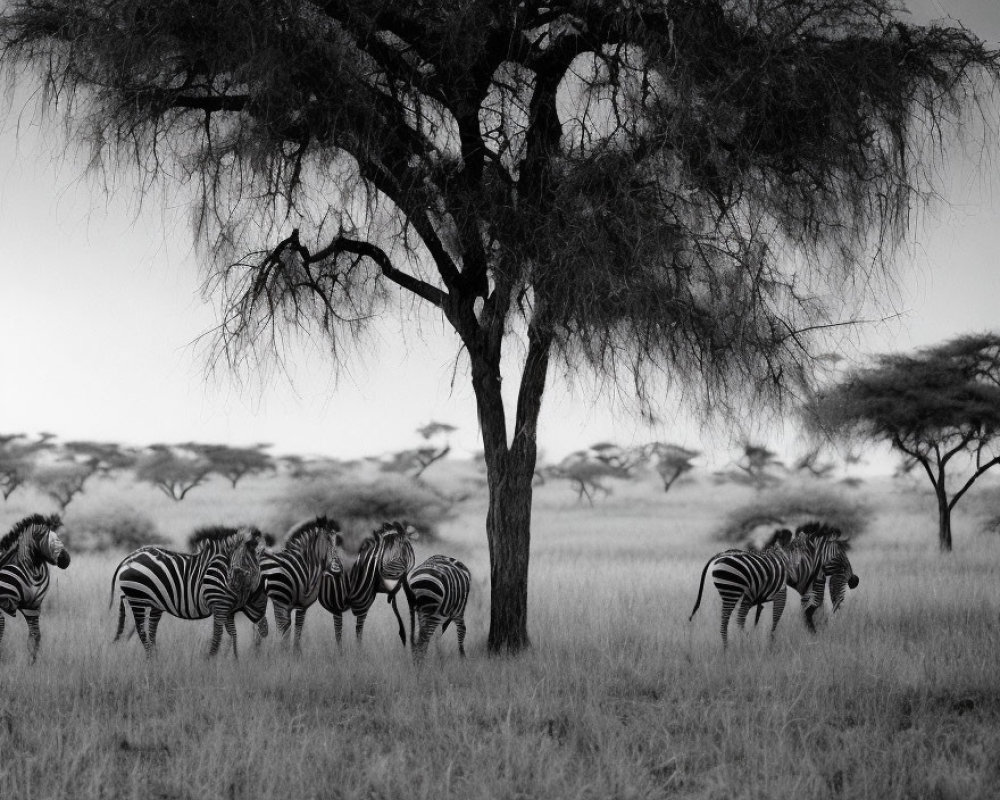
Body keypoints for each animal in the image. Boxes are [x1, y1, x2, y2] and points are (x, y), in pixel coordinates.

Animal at [0, 512, 70, 664]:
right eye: (44, 537)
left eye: (59, 537)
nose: (66, 560)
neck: (34, 570)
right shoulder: (2, 602)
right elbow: (1, 629)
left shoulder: (31, 607)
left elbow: (35, 637)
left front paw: (32, 664)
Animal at [112, 524, 266, 656]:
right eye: (238, 560)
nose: (232, 580)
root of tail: (131, 556)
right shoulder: (220, 606)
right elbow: (218, 636)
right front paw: (210, 661)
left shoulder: (227, 609)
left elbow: (232, 635)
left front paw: (234, 662)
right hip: (137, 598)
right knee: (141, 630)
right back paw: (150, 658)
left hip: (153, 602)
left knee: (149, 630)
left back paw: (154, 658)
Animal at [260, 520, 342, 648]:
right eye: (326, 542)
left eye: (336, 543)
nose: (338, 569)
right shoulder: (281, 604)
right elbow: (283, 636)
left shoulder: (302, 607)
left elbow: (297, 634)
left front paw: (295, 653)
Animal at [318, 520, 416, 648]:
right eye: (383, 554)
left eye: (407, 550)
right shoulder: (336, 608)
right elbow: (338, 635)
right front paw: (341, 653)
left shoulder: (363, 611)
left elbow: (359, 635)